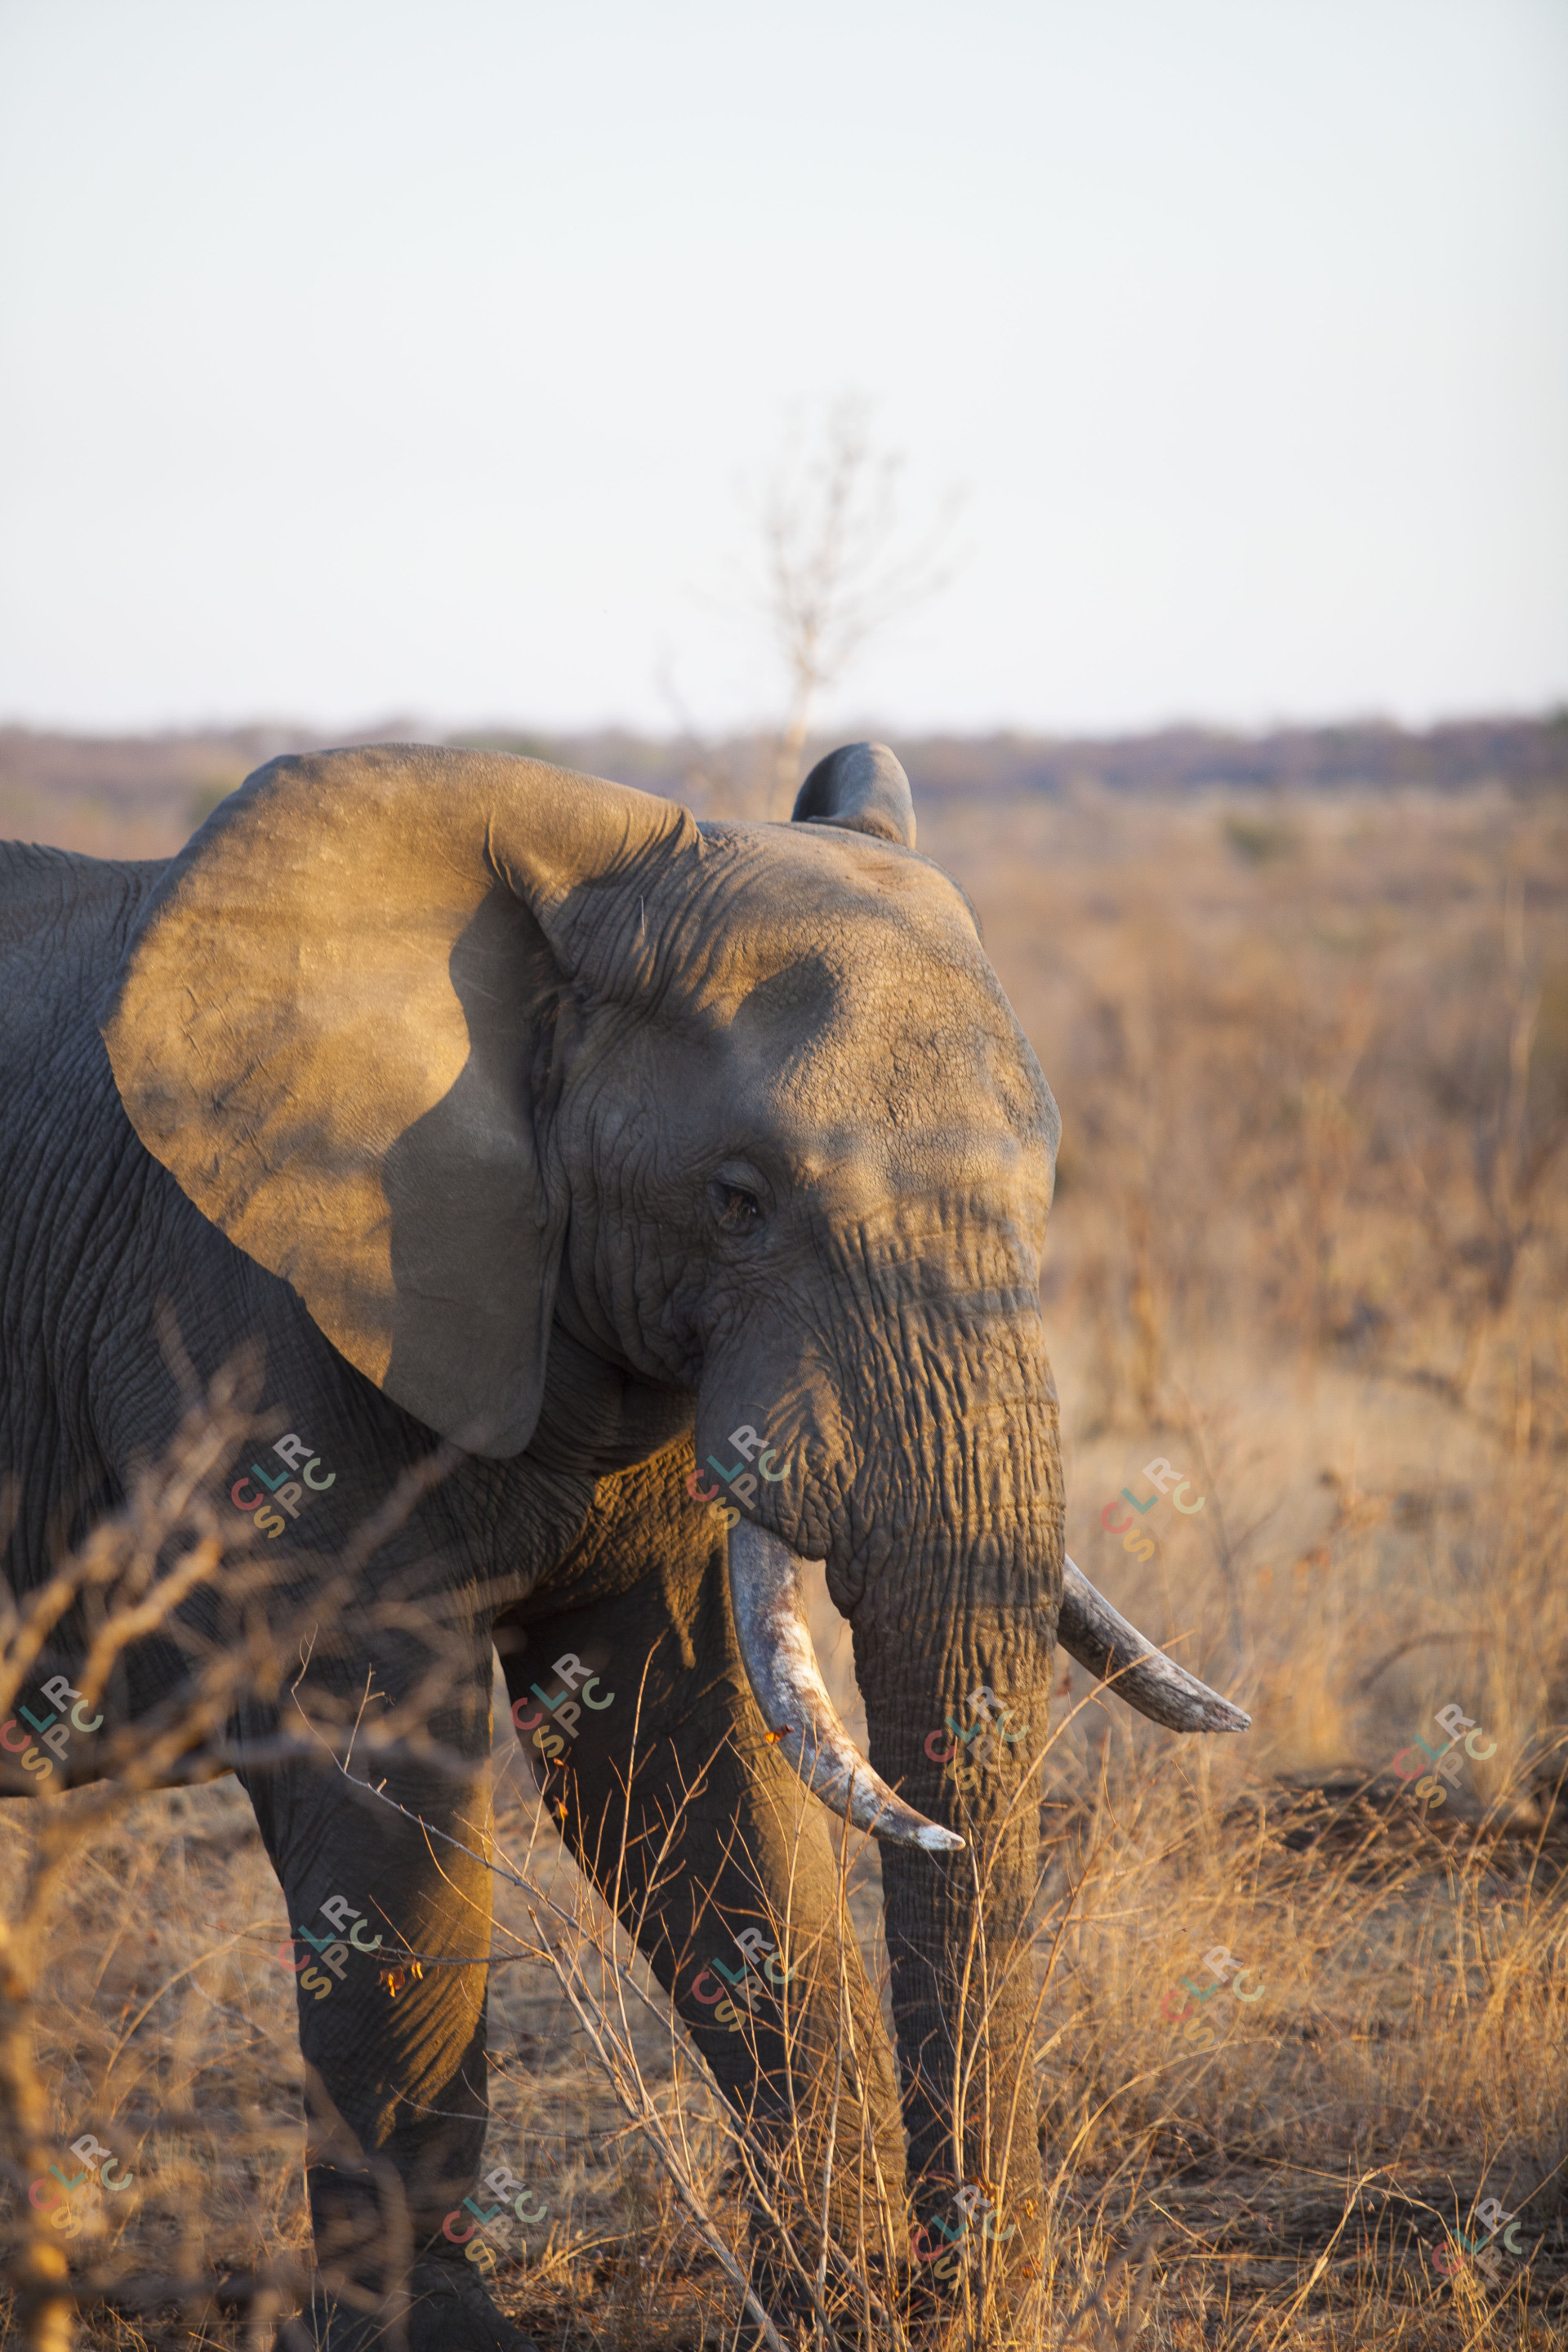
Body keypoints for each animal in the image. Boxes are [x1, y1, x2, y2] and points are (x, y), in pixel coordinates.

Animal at [0, 737, 1247, 2349]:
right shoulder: (244, 1320)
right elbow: (383, 1808)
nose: (950, 2301)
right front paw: (442, 2341)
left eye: (1049, 1192)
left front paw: (830, 2304)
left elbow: (679, 1761)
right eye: (739, 1201)